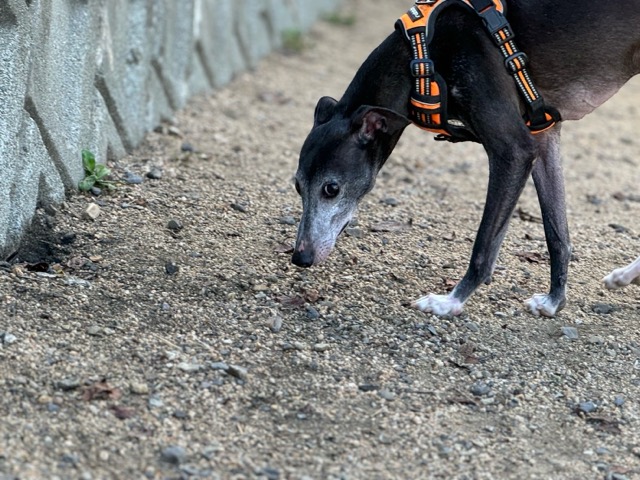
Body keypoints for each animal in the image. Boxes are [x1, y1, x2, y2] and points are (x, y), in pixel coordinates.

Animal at [291, 0, 640, 317]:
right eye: (297, 186)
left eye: (331, 189)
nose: (299, 258)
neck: (422, 57)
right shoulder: (542, 138)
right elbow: (557, 234)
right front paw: (554, 301)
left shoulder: (513, 150)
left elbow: (484, 245)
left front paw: (450, 302)